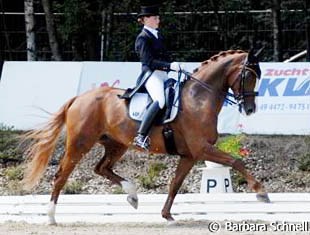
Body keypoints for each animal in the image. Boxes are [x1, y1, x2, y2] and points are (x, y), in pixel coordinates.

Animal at [21, 49, 268, 224]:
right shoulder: (202, 148)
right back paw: (51, 217)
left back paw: (132, 195)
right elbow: (236, 160)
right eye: (248, 75)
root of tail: (79, 98)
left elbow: (175, 184)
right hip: (80, 143)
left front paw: (167, 215)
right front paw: (261, 192)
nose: (250, 109)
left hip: (116, 144)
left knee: (101, 168)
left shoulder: (189, 155)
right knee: (62, 175)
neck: (198, 98)